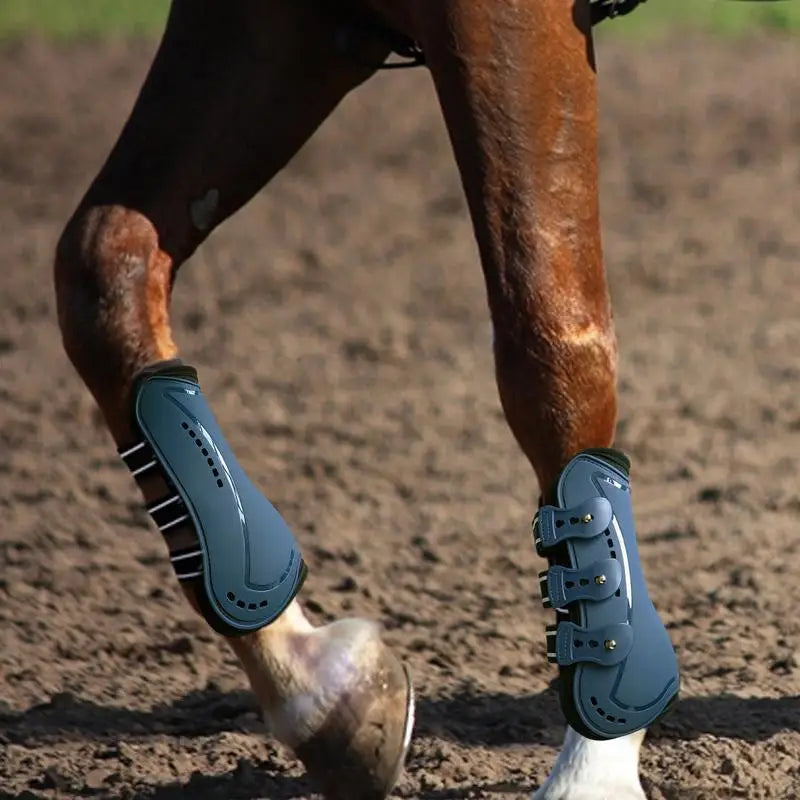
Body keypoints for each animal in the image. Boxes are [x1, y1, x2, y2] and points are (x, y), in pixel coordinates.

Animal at [54, 1, 655, 798]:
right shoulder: (269, 21)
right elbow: (101, 270)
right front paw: (325, 695)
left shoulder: (506, 21)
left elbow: (549, 334)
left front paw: (593, 764)